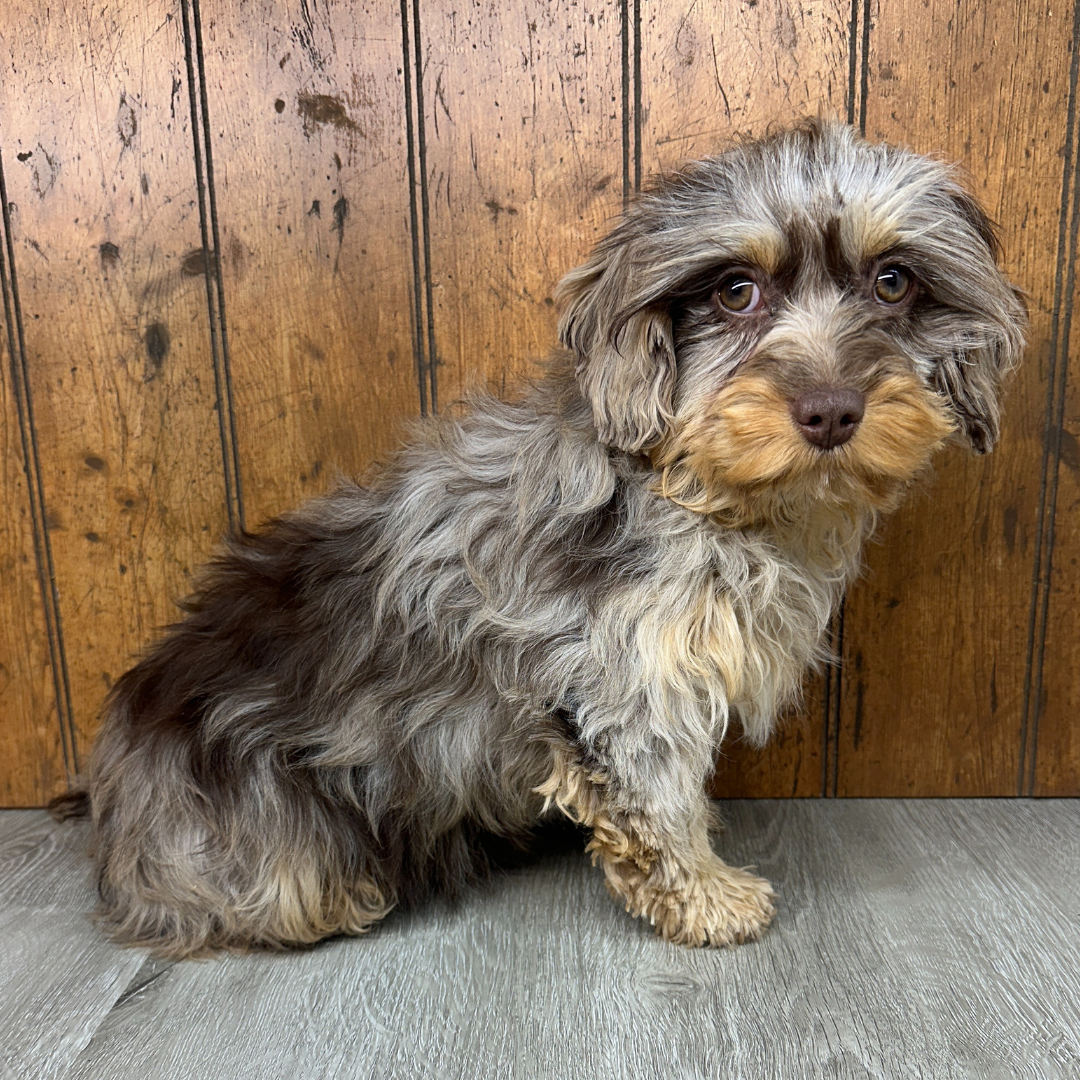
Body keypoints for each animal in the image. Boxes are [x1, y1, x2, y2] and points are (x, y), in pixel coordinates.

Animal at [56, 122, 1019, 959]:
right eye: (735, 291)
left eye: (893, 283)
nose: (830, 412)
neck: (692, 490)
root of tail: (109, 800)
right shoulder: (626, 677)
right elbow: (660, 802)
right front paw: (709, 896)